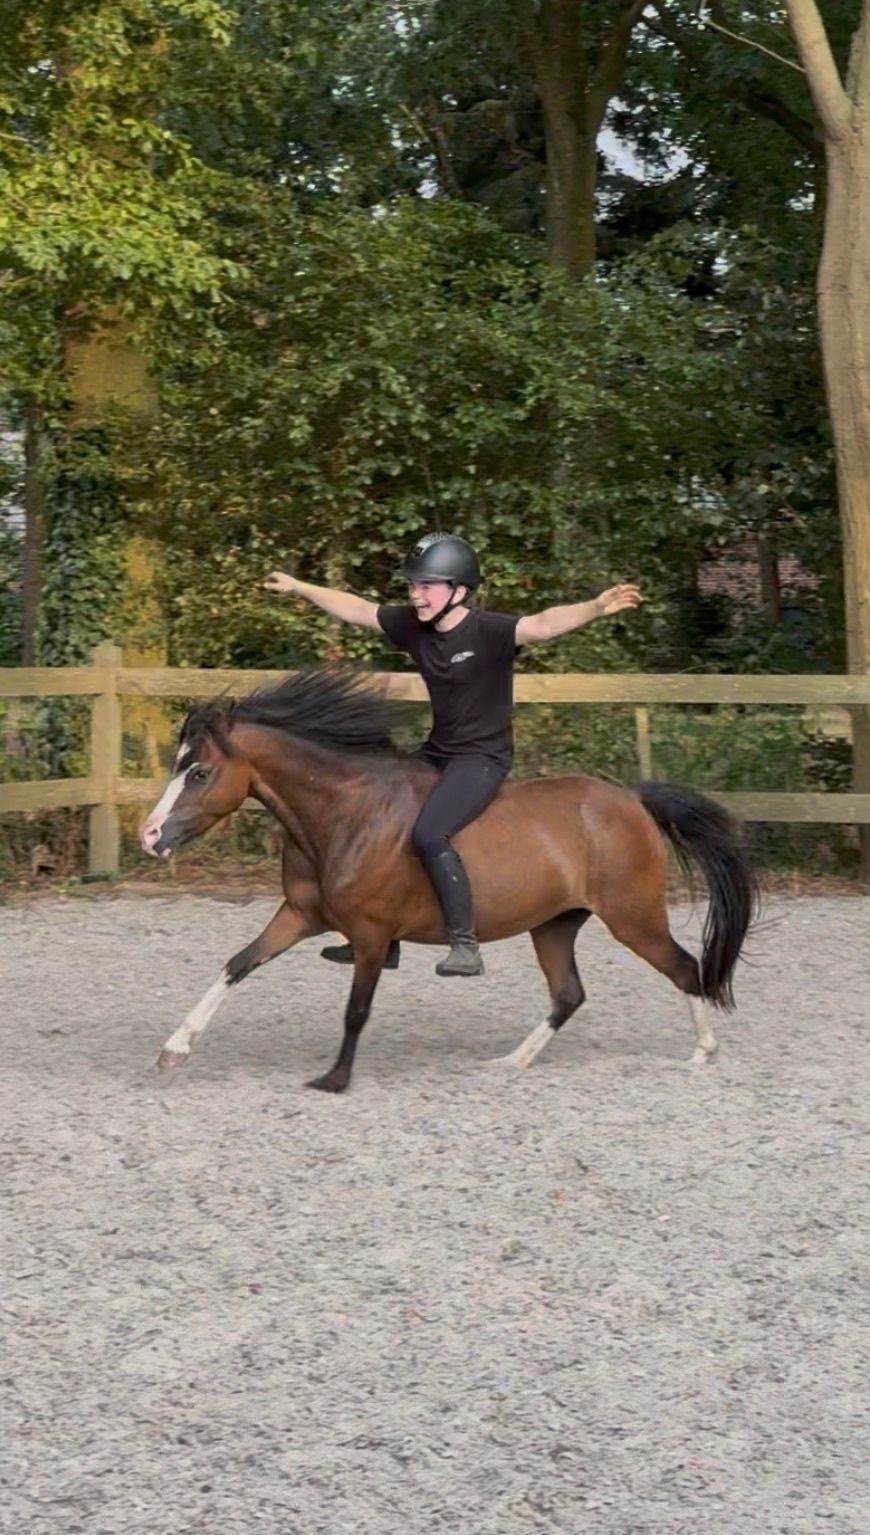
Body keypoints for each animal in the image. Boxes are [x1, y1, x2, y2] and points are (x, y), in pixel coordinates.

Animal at [140, 665, 759, 1093]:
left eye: (199, 773)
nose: (149, 836)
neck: (343, 814)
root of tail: (631, 798)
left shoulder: (371, 935)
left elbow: (356, 1009)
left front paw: (335, 1079)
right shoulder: (299, 916)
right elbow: (238, 964)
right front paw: (173, 1049)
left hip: (632, 918)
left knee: (685, 968)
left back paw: (702, 1054)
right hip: (554, 924)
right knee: (568, 994)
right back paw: (511, 1061)